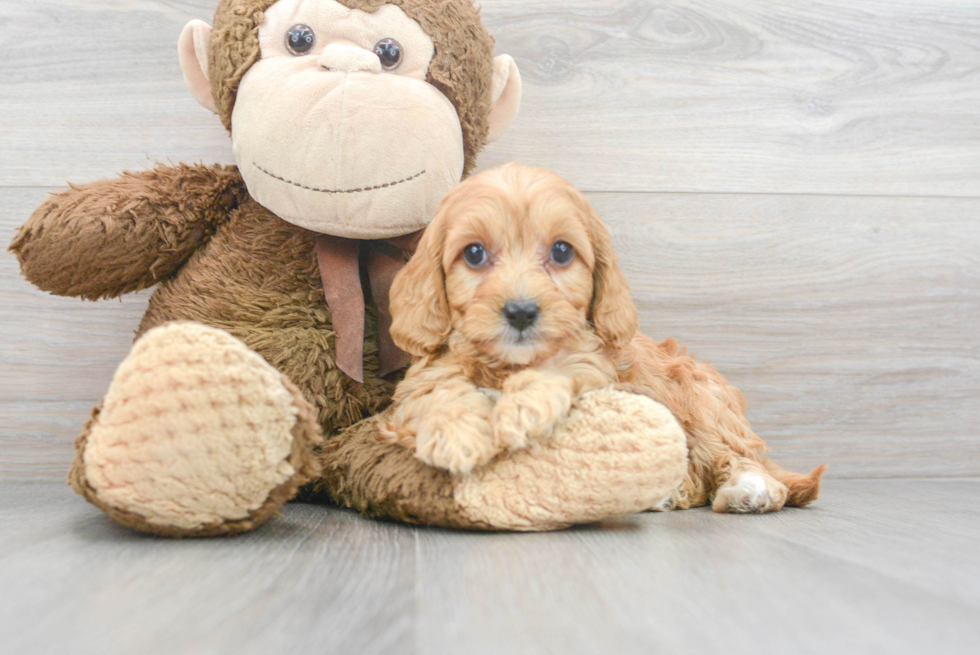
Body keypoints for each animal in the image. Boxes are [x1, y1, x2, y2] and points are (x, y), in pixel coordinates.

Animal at [378, 163, 824, 512]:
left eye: (561, 252)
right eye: (474, 254)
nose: (521, 312)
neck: (507, 367)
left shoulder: (596, 370)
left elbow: (561, 370)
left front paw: (521, 409)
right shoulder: (421, 382)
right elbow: (438, 394)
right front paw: (455, 436)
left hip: (703, 400)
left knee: (735, 457)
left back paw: (750, 488)